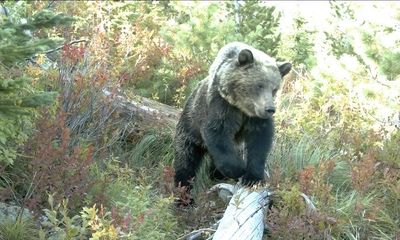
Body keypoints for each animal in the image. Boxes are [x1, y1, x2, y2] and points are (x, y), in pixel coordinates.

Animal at [172, 42, 290, 188]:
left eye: (274, 89)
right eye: (259, 85)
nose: (270, 109)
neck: (241, 107)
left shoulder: (254, 118)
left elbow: (260, 142)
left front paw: (253, 177)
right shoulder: (221, 106)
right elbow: (217, 133)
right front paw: (239, 169)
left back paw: (216, 175)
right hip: (189, 129)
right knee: (186, 159)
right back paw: (183, 186)